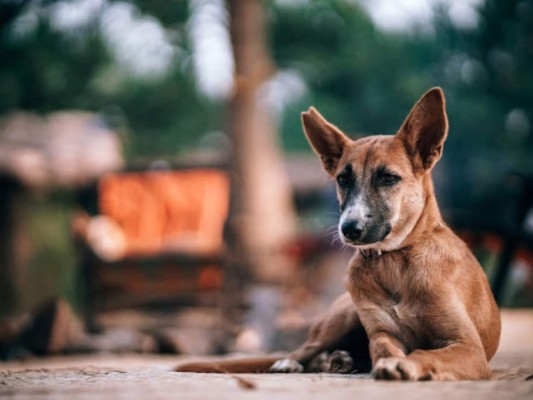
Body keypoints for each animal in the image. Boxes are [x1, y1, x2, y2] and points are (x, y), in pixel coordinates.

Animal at [177, 87, 500, 382]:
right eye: (343, 179)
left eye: (388, 178)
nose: (349, 229)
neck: (395, 261)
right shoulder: (382, 333)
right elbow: (384, 348)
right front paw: (391, 362)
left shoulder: (468, 347)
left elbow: (425, 352)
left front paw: (405, 364)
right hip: (343, 317)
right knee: (305, 349)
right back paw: (298, 362)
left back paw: (338, 361)